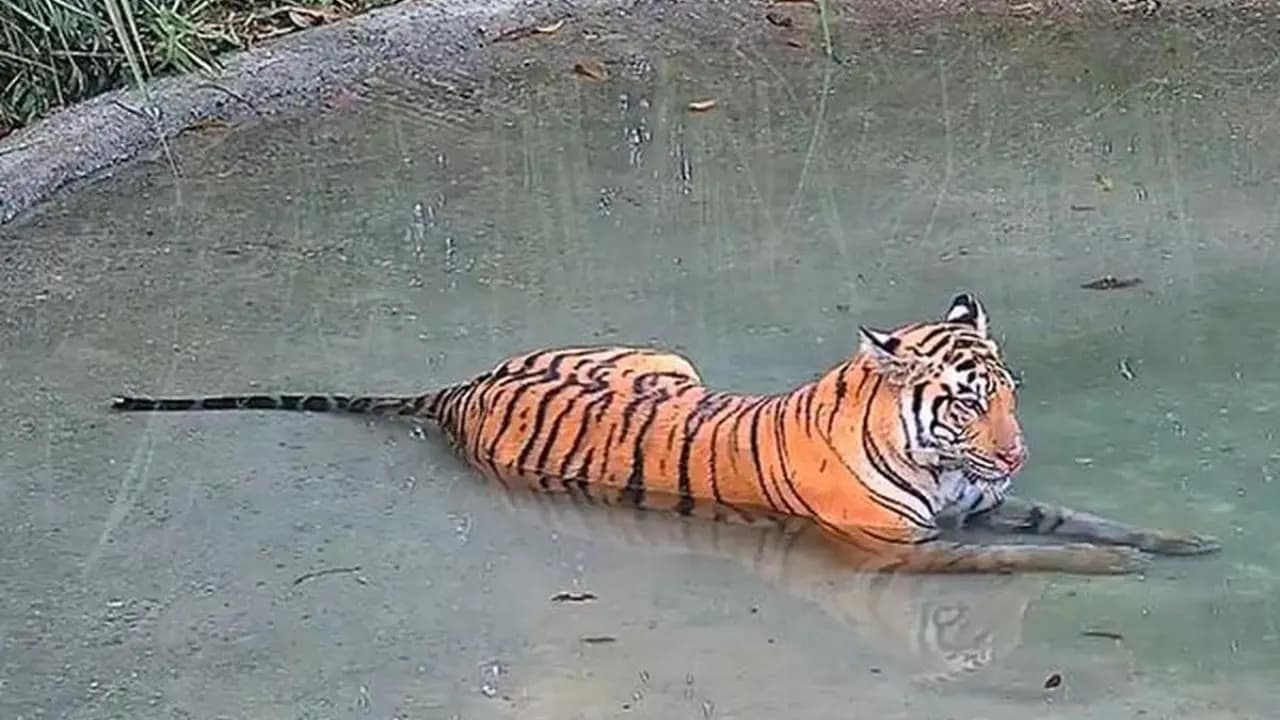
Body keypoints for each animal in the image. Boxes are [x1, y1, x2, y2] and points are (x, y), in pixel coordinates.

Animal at [110, 292, 1219, 574]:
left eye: (1008, 395)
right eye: (964, 399)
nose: (1018, 449)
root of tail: (461, 390)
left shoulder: (985, 505)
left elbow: (1078, 518)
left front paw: (1179, 542)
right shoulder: (905, 550)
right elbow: (1034, 555)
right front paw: (1112, 571)